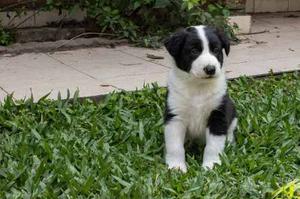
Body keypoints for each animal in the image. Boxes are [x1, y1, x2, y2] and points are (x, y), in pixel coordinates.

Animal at [164, 24, 237, 172]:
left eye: (216, 50)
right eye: (194, 51)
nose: (210, 69)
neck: (198, 87)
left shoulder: (218, 115)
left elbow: (213, 146)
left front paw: (211, 166)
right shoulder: (175, 116)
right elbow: (175, 146)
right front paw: (176, 167)